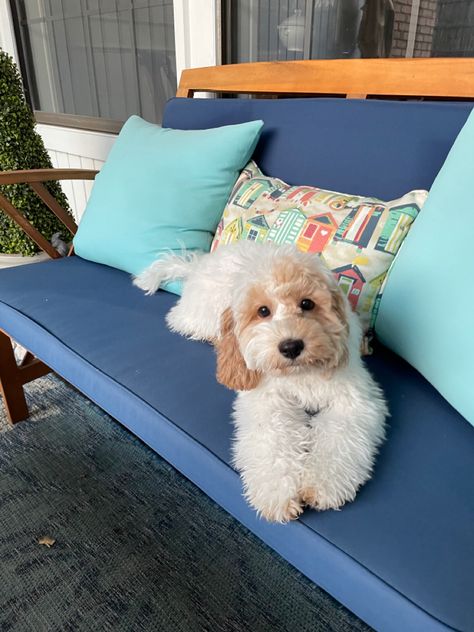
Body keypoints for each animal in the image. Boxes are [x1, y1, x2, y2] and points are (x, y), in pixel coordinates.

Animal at [134, 242, 388, 524]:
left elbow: (340, 437)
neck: (300, 374)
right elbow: (273, 439)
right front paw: (277, 494)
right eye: (263, 311)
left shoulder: (354, 400)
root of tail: (199, 265)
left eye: (307, 303)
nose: (290, 347)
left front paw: (323, 485)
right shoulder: (267, 400)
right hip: (199, 316)